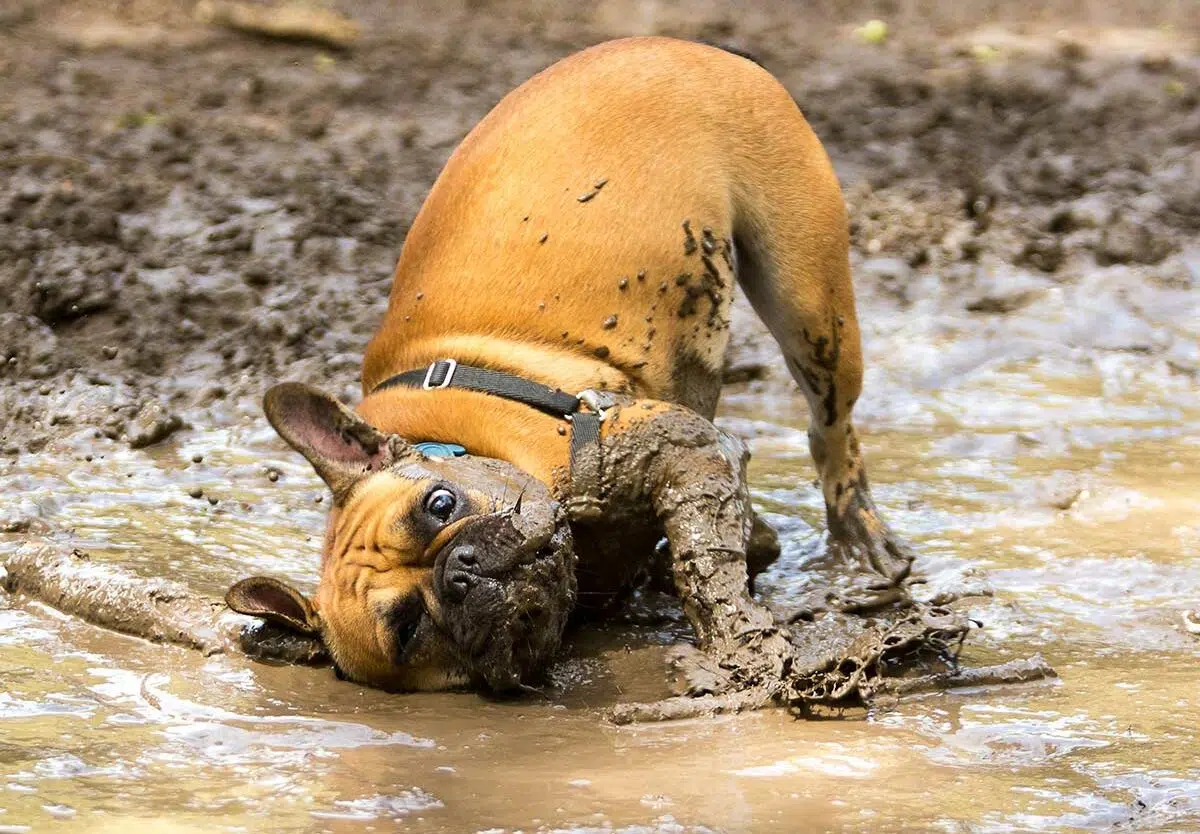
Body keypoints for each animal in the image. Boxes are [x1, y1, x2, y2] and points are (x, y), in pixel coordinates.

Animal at [229, 35, 912, 696]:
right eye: (408, 628)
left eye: (441, 505)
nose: (459, 571)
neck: (458, 437)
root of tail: (681, 44)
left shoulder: (674, 446)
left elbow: (705, 559)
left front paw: (740, 642)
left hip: (808, 301)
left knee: (830, 426)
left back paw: (862, 538)